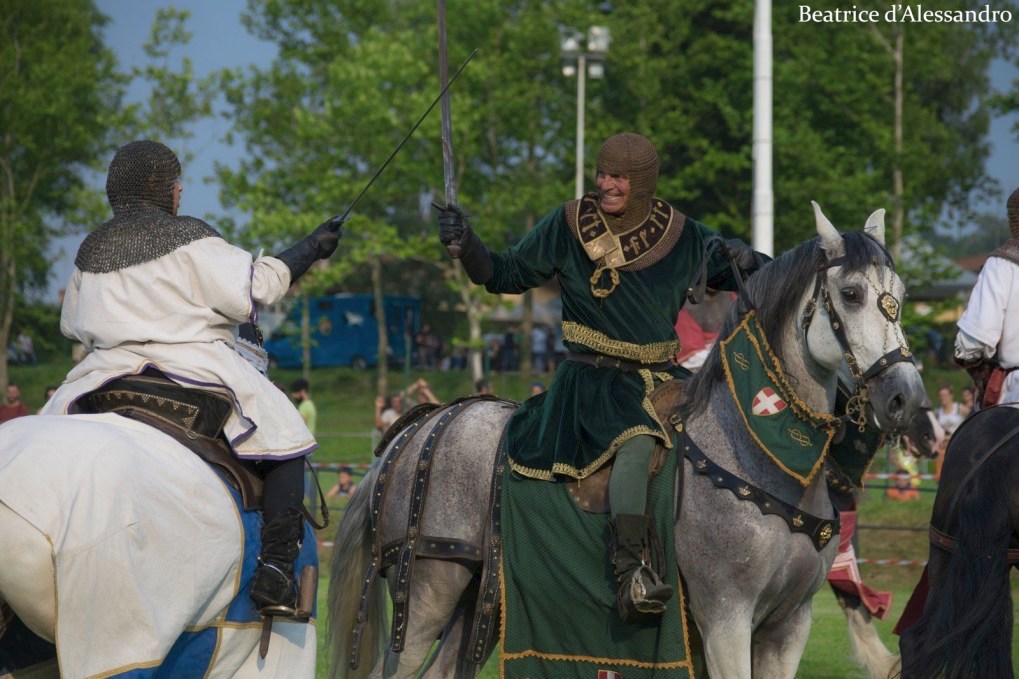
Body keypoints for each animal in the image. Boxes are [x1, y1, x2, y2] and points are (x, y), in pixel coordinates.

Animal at [330, 201, 929, 676]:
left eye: (898, 295)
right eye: (850, 293)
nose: (907, 400)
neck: (762, 455)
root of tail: (420, 427)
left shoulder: (788, 627)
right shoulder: (725, 619)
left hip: (480, 594)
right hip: (430, 586)